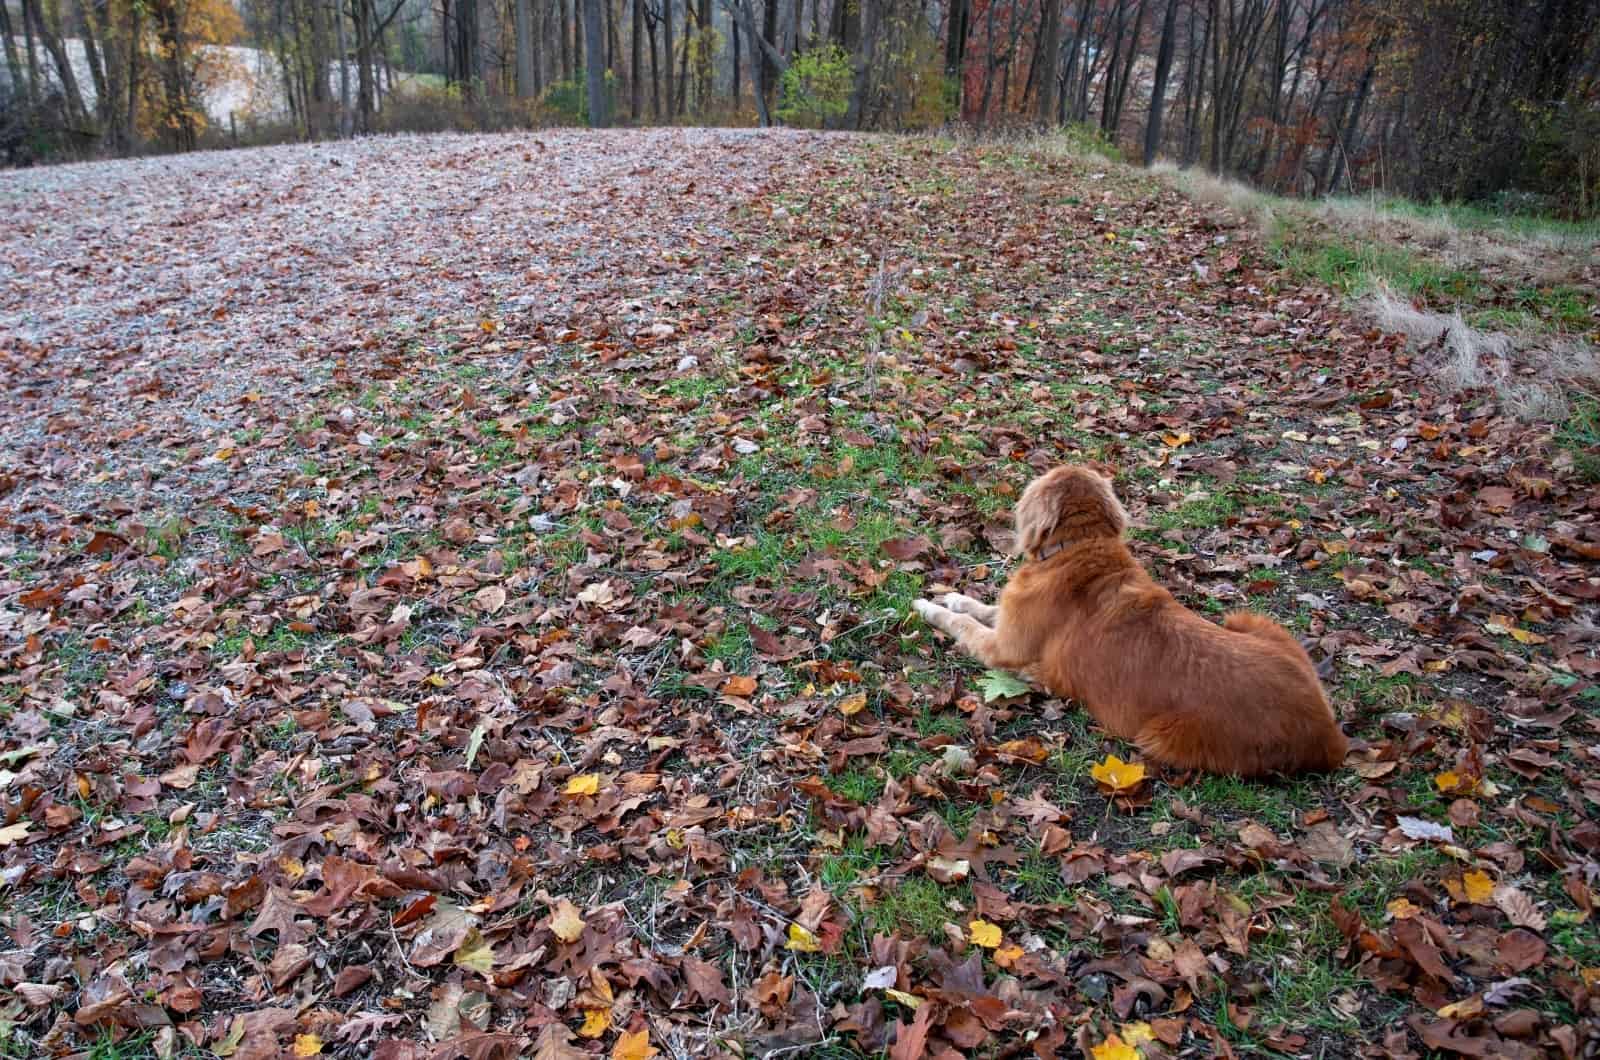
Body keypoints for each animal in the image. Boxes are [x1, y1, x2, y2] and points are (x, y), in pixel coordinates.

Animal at [915, 464, 1350, 781]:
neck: (1079, 547)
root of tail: (1330, 735)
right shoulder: (1009, 620)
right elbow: (982, 608)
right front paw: (955, 595)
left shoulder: (1005, 648)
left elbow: (966, 625)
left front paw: (927, 606)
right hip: (1249, 620)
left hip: (1159, 737)